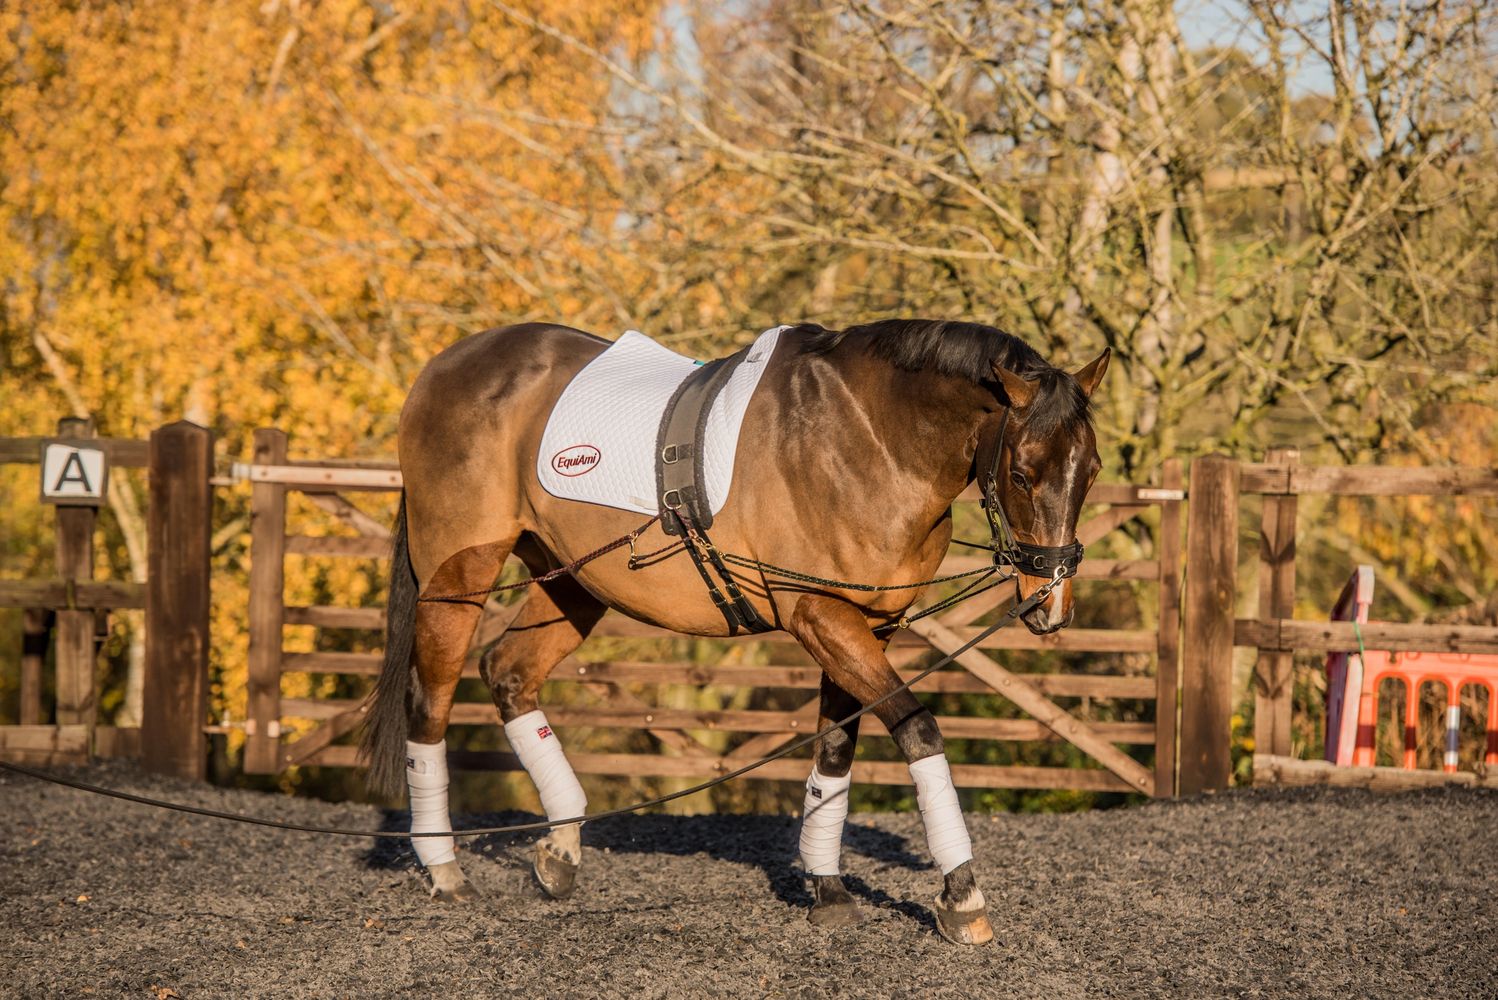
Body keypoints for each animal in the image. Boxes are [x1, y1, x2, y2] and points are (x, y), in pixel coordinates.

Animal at [360, 318, 1107, 945]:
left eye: (1091, 471)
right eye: (1022, 474)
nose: (1050, 604)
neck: (869, 439)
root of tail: (446, 364)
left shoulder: (869, 625)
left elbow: (835, 751)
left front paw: (827, 888)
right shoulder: (820, 615)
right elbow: (917, 730)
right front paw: (961, 898)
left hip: (570, 582)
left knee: (510, 673)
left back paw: (560, 850)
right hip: (459, 575)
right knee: (431, 701)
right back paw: (445, 869)